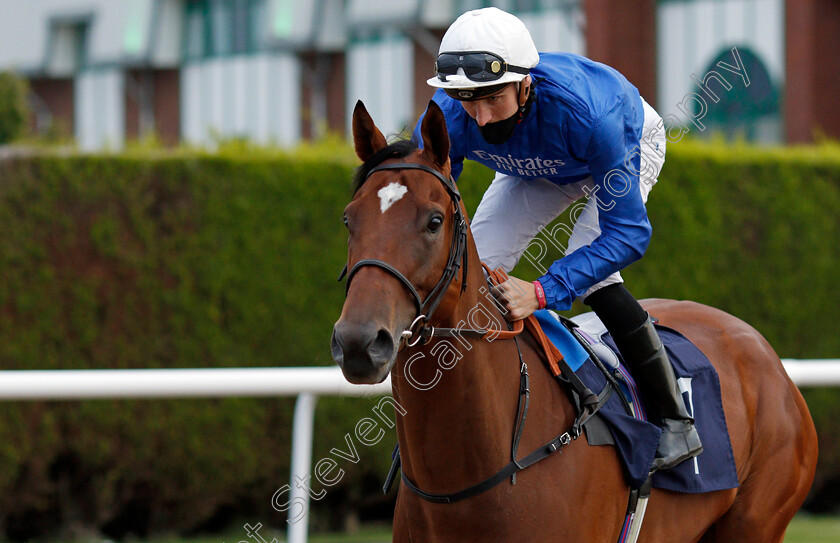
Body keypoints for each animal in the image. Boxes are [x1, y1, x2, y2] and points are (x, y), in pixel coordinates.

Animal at [332, 100, 816, 540]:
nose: (359, 343)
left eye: (434, 222)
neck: (463, 480)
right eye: (348, 219)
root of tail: (763, 351)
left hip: (756, 520)